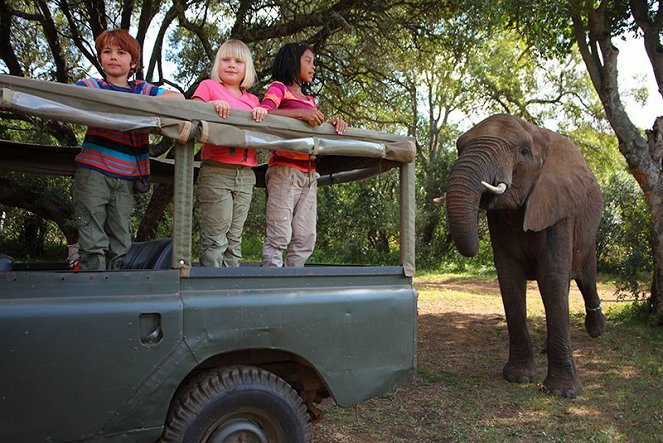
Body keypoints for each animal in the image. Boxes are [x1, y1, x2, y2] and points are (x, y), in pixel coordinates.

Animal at [446, 114, 608, 398]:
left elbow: (552, 275)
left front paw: (563, 393)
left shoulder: (559, 207)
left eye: (522, 152)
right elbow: (509, 277)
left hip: (588, 232)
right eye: (458, 148)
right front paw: (519, 378)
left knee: (585, 278)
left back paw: (597, 332)